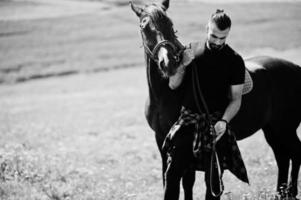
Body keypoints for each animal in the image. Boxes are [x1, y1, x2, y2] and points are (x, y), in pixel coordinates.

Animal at [130, 0, 300, 199]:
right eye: (144, 26)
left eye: (170, 24)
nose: (169, 62)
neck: (165, 94)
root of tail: (296, 68)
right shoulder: (162, 140)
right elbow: (172, 180)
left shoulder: (183, 143)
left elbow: (188, 181)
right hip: (273, 129)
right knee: (282, 157)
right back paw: (281, 193)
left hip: (285, 129)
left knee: (295, 153)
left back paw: (291, 192)